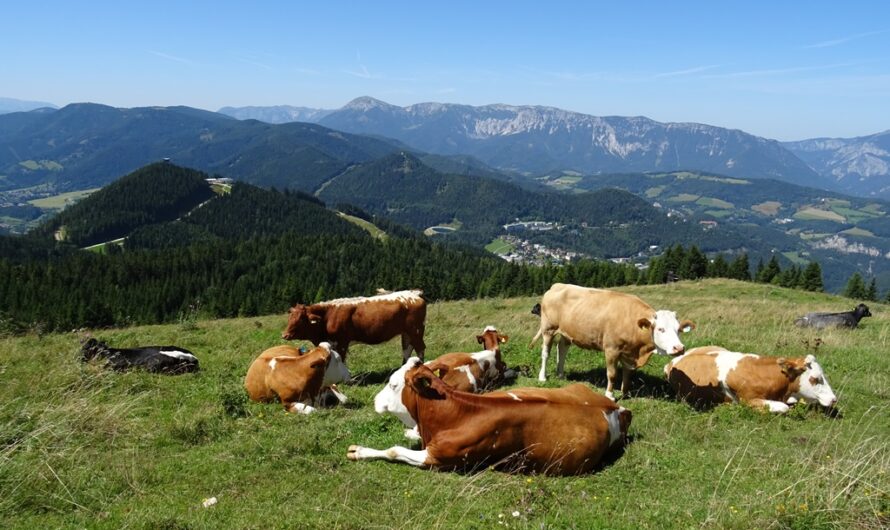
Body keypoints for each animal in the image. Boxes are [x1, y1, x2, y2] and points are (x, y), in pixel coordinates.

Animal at [280, 286, 426, 360]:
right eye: (290, 317)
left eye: (301, 319)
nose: (284, 335)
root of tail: (412, 293)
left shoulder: (342, 342)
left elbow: (342, 359)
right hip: (406, 332)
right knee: (407, 349)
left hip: (416, 330)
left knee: (420, 348)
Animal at [346, 360, 632, 472]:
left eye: (393, 384)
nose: (375, 400)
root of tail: (617, 407)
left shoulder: (439, 458)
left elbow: (394, 450)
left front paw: (358, 451)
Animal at [528, 282, 692, 398]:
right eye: (660, 329)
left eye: (678, 329)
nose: (679, 348)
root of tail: (557, 285)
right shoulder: (611, 349)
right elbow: (612, 374)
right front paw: (610, 395)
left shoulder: (629, 353)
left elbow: (627, 374)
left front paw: (625, 393)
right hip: (548, 328)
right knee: (545, 353)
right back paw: (542, 377)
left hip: (567, 332)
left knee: (562, 348)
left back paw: (560, 374)